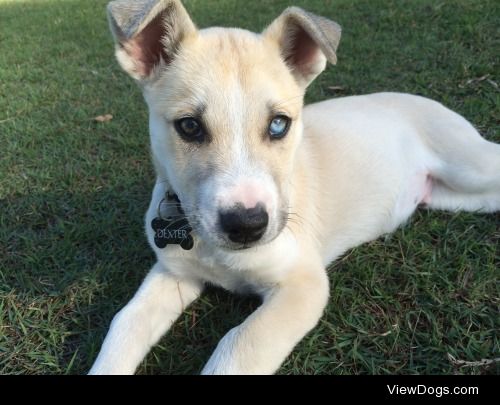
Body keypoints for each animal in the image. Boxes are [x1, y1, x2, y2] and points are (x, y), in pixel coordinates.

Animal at [88, 0, 498, 374]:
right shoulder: (174, 272)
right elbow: (125, 322)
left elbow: (239, 343)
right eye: (189, 126)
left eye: (278, 124)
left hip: (471, 167)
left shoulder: (304, 283)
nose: (247, 225)